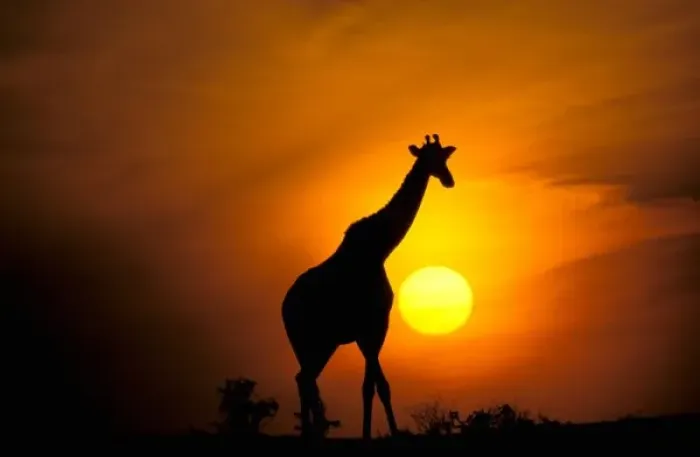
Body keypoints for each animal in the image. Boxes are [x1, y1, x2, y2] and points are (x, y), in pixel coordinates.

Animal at [282, 133, 457, 440]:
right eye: (429, 158)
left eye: (444, 157)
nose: (448, 180)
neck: (380, 248)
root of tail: (284, 308)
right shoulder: (372, 325)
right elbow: (378, 386)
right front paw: (389, 433)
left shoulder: (370, 329)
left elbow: (371, 386)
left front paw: (370, 433)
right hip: (311, 340)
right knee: (306, 379)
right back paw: (311, 433)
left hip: (317, 343)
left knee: (305, 378)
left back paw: (312, 433)